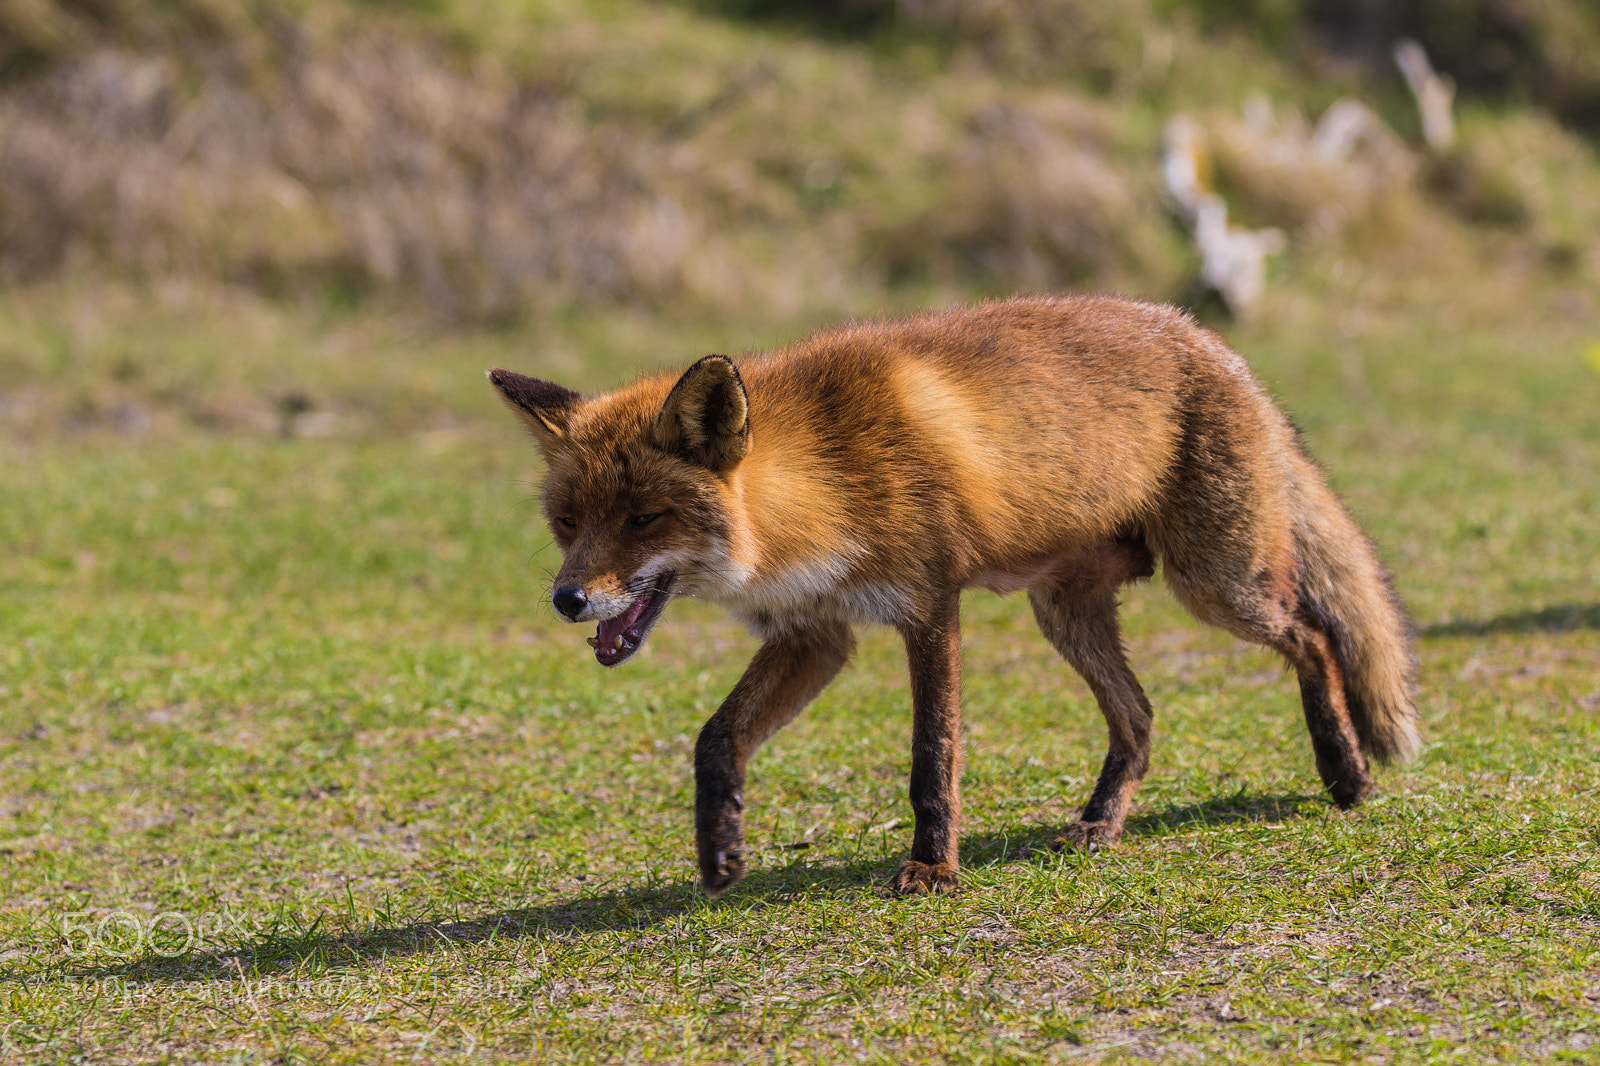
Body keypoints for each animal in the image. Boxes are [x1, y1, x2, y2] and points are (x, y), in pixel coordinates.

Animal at [488, 294, 1419, 897]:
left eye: (643, 519)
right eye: (567, 522)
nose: (568, 599)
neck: (826, 480)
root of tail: (1217, 346)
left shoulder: (928, 606)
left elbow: (932, 755)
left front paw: (935, 866)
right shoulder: (814, 634)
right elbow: (716, 740)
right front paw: (721, 851)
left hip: (1217, 583)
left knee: (1314, 636)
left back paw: (1345, 772)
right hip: (1067, 613)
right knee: (1142, 717)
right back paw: (1101, 823)